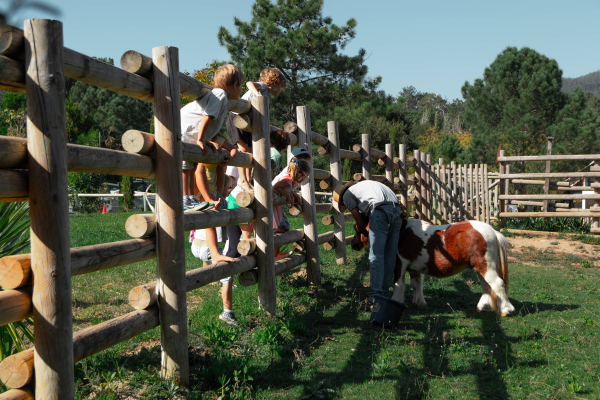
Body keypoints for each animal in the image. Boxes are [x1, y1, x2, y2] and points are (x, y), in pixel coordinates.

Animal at [352, 219, 516, 316]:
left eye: (357, 229)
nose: (354, 244)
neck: (400, 232)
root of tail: (492, 231)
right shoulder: (414, 270)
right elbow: (416, 285)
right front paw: (419, 303)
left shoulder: (400, 266)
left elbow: (399, 286)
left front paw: (397, 301)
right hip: (480, 267)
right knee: (487, 286)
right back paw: (484, 306)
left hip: (485, 267)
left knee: (497, 284)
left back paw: (506, 309)